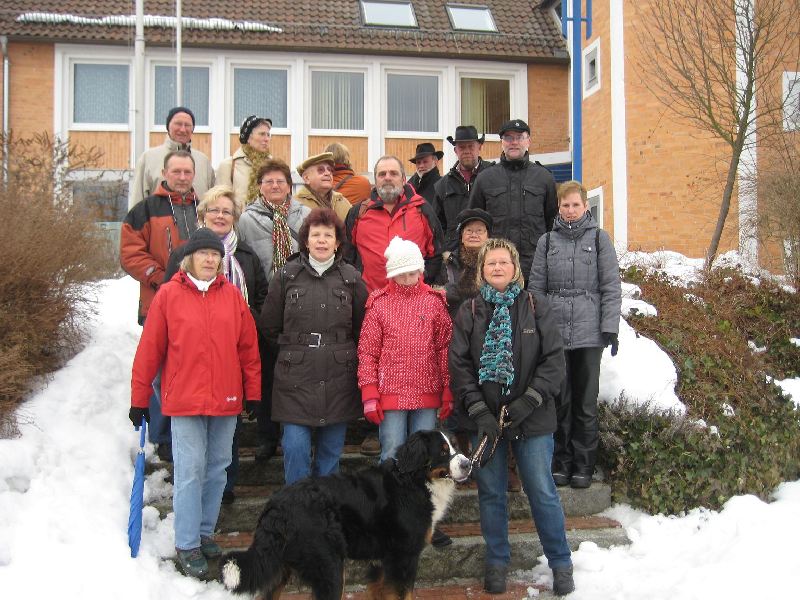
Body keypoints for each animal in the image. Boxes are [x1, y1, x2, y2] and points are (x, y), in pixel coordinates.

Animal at [220, 428, 468, 596]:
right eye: (443, 451)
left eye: (456, 446)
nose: (468, 464)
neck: (412, 480)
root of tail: (277, 505)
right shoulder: (403, 558)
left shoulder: (381, 563)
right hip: (329, 568)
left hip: (282, 569)